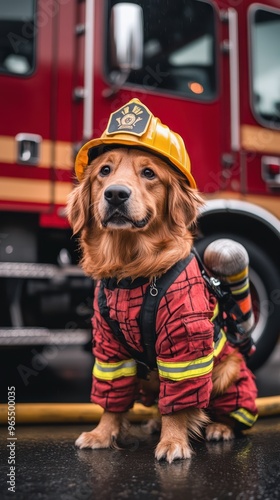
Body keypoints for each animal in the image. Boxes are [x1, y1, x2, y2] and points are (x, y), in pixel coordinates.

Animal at [66, 97, 258, 460]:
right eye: (104, 171)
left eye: (149, 173)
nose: (115, 194)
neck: (131, 271)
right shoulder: (109, 347)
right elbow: (112, 397)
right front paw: (102, 434)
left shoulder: (184, 341)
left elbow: (180, 403)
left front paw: (173, 441)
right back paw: (155, 422)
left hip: (229, 370)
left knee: (225, 410)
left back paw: (219, 427)